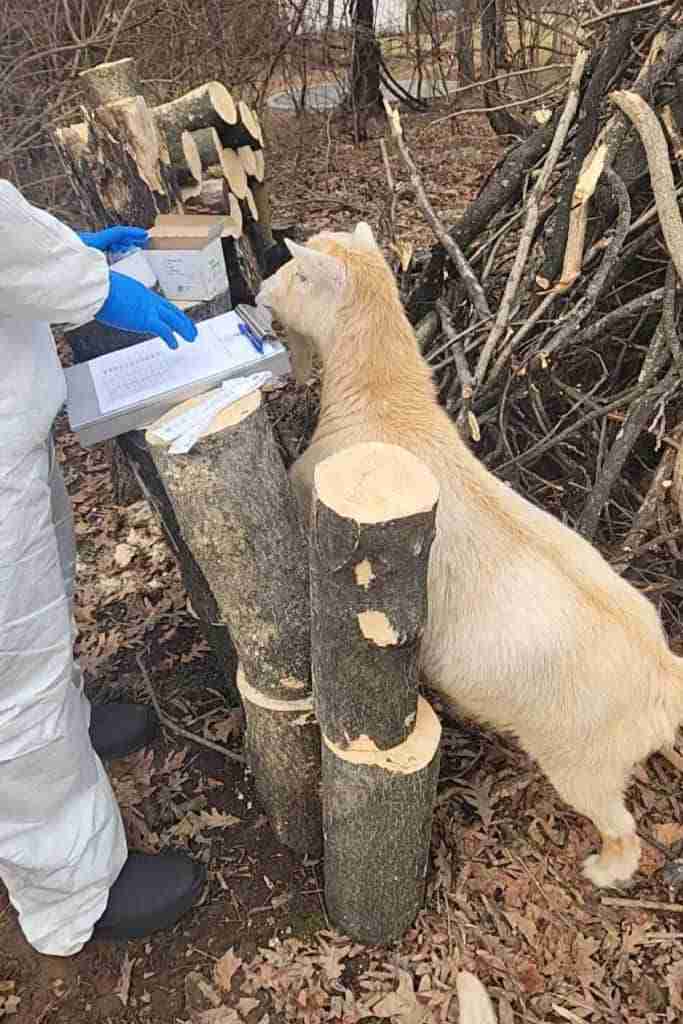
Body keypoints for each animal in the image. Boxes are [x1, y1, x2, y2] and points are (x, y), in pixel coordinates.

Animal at [256, 221, 683, 888]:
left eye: (299, 274)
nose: (259, 290)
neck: (387, 403)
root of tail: (664, 673)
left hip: (584, 764)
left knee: (623, 828)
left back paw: (605, 870)